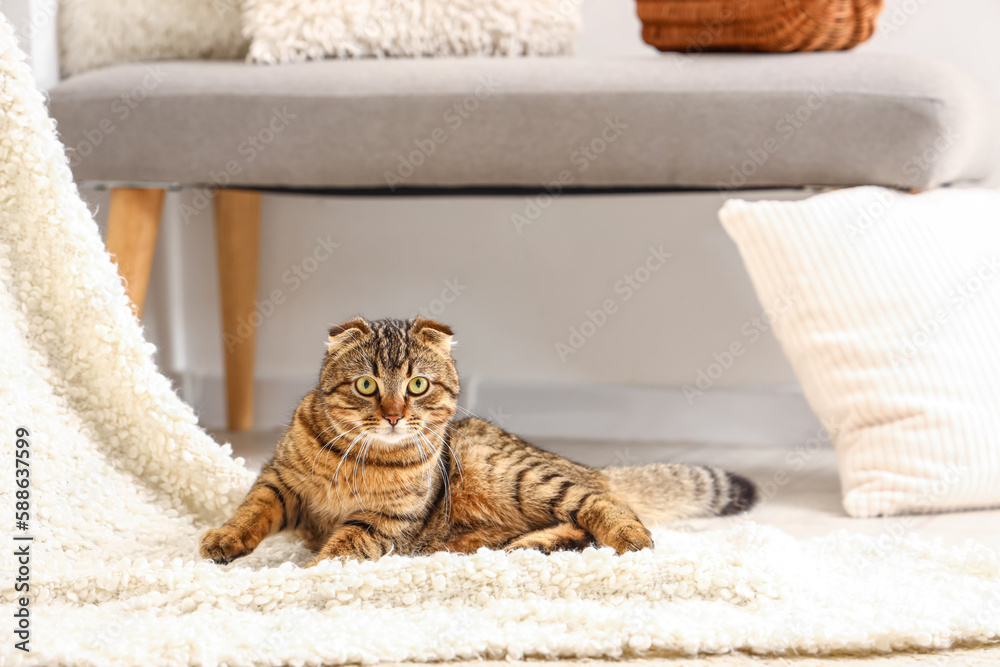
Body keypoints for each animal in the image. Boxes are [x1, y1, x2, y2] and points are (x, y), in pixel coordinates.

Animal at [199, 318, 752, 564]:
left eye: (417, 385)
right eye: (367, 385)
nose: (395, 415)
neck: (363, 456)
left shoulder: (386, 519)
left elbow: (343, 546)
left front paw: (309, 570)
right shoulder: (280, 482)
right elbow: (251, 511)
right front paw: (224, 539)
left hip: (523, 478)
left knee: (604, 508)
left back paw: (630, 536)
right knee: (575, 530)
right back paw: (527, 545)